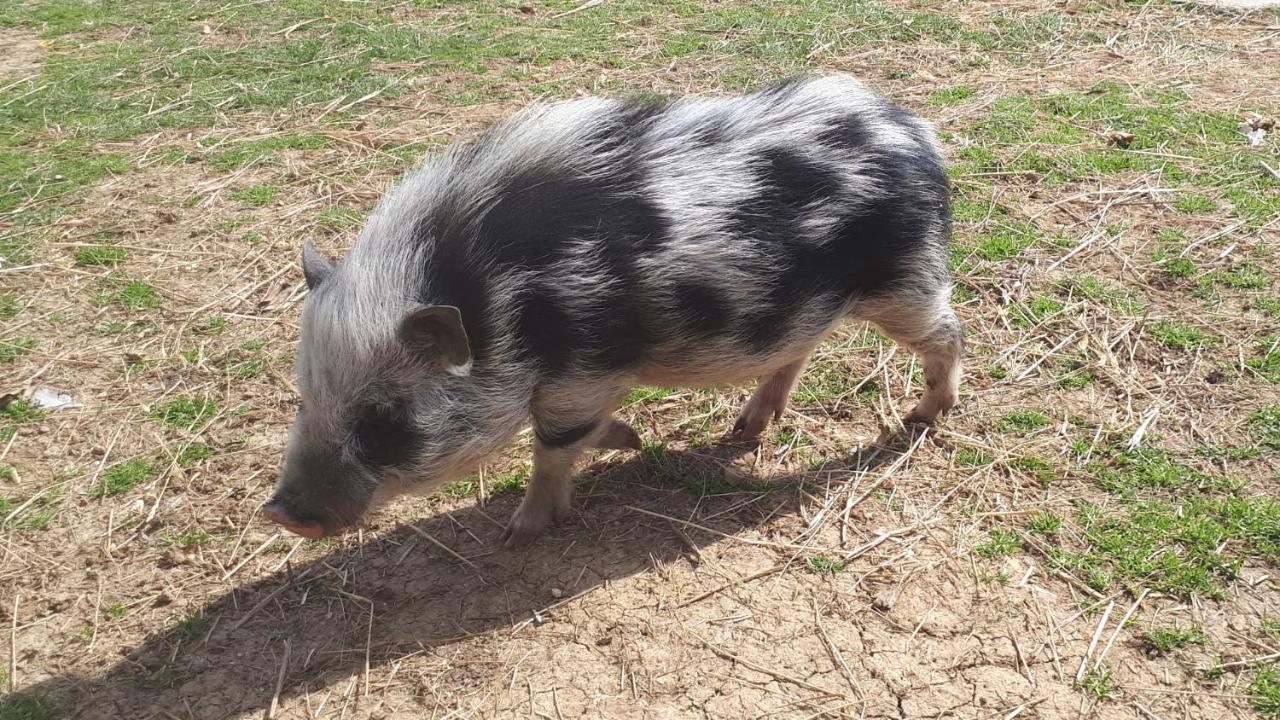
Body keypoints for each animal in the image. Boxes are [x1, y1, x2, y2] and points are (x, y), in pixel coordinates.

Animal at [262, 74, 962, 543]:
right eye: (304, 397)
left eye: (382, 414)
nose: (281, 513)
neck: (502, 303)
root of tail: (916, 133)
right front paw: (632, 440)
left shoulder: (583, 373)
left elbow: (551, 446)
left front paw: (520, 531)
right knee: (800, 348)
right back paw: (744, 430)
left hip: (904, 280)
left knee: (948, 332)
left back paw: (921, 418)